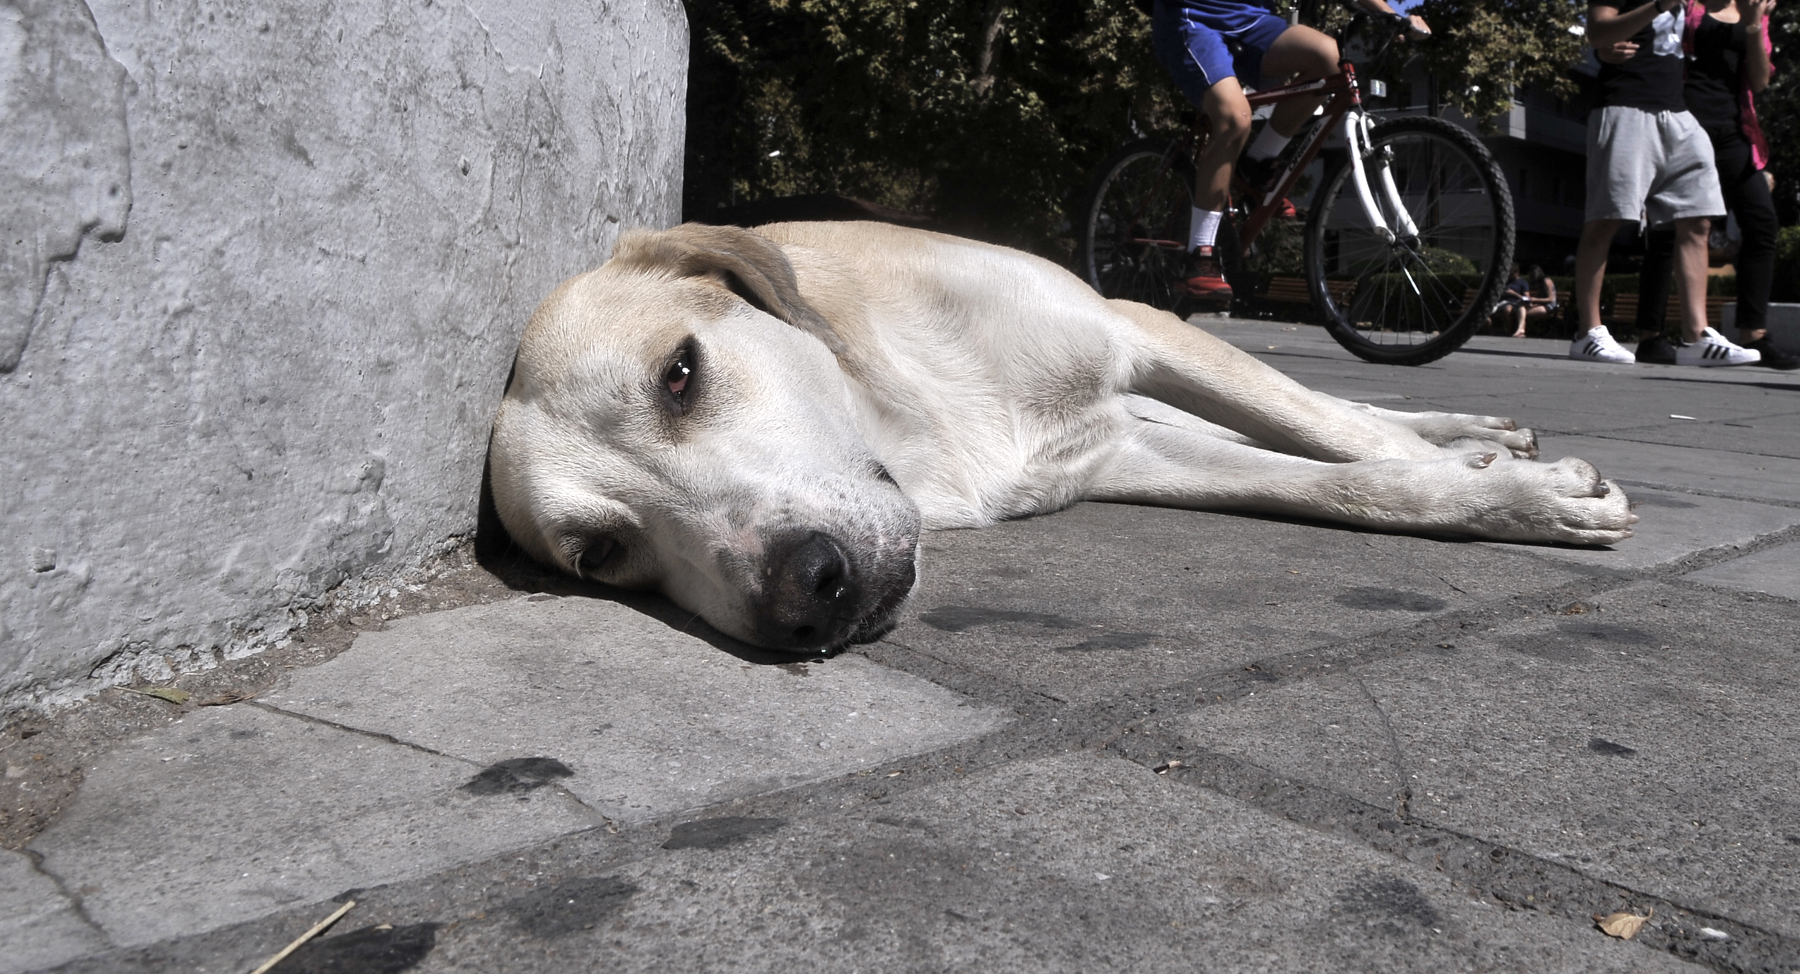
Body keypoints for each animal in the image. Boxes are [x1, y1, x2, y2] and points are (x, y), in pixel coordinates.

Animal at [486, 222, 1641, 651]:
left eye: (679, 374)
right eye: (602, 555)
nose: (807, 591)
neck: (916, 423)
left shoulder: (1135, 327)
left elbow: (1340, 438)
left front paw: (1518, 490)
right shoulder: (1128, 455)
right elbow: (1334, 480)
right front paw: (1488, 490)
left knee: (1340, 407)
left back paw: (1476, 428)